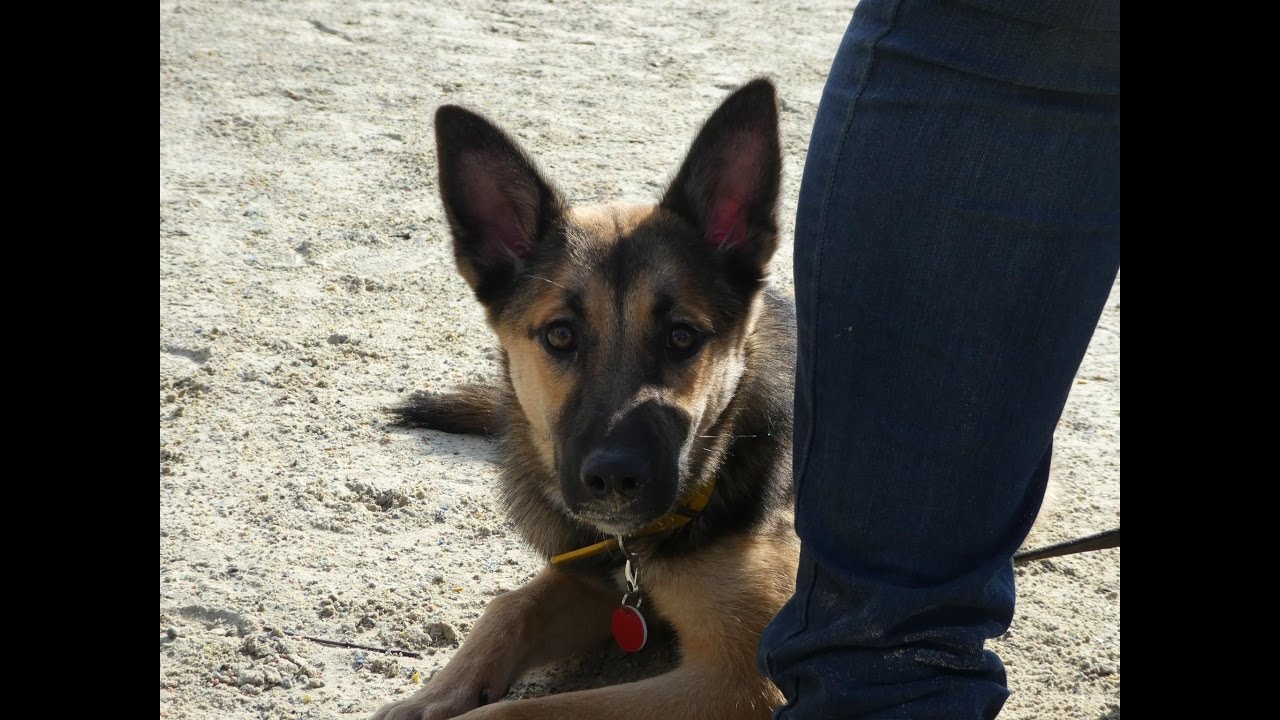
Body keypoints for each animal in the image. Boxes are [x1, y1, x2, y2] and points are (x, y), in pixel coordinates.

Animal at [373, 78, 798, 717]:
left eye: (681, 337)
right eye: (560, 335)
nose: (615, 479)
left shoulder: (741, 681)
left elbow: (524, 709)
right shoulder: (601, 579)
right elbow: (509, 607)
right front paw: (431, 696)